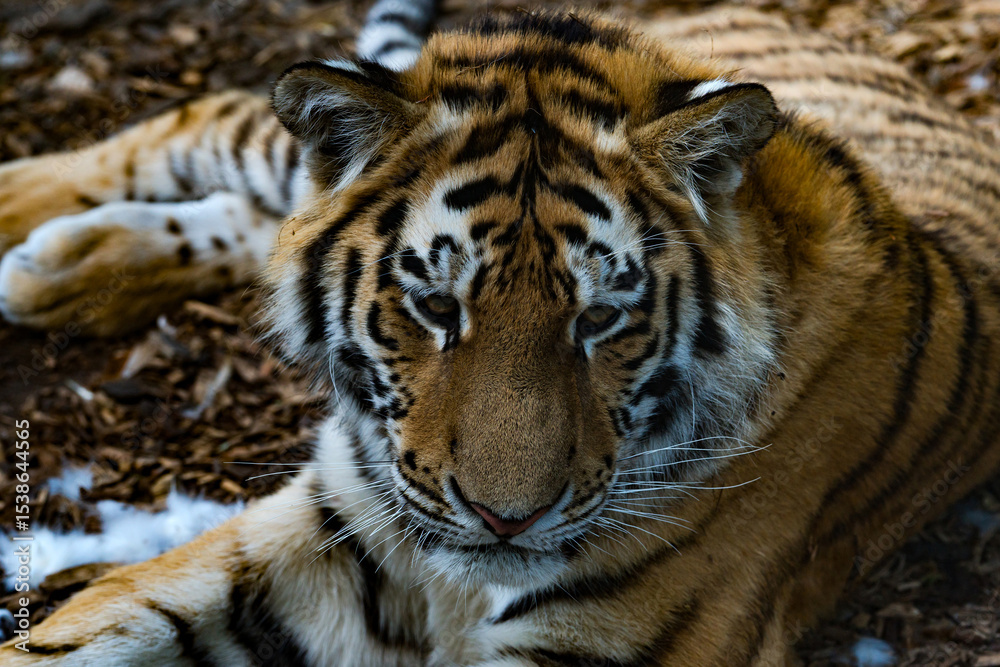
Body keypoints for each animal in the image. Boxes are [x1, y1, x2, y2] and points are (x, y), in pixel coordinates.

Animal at [1, 0, 999, 665]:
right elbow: (88, 632)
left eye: (600, 318)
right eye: (438, 307)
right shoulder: (331, 521)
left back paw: (54, 269)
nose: (503, 519)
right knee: (212, 118)